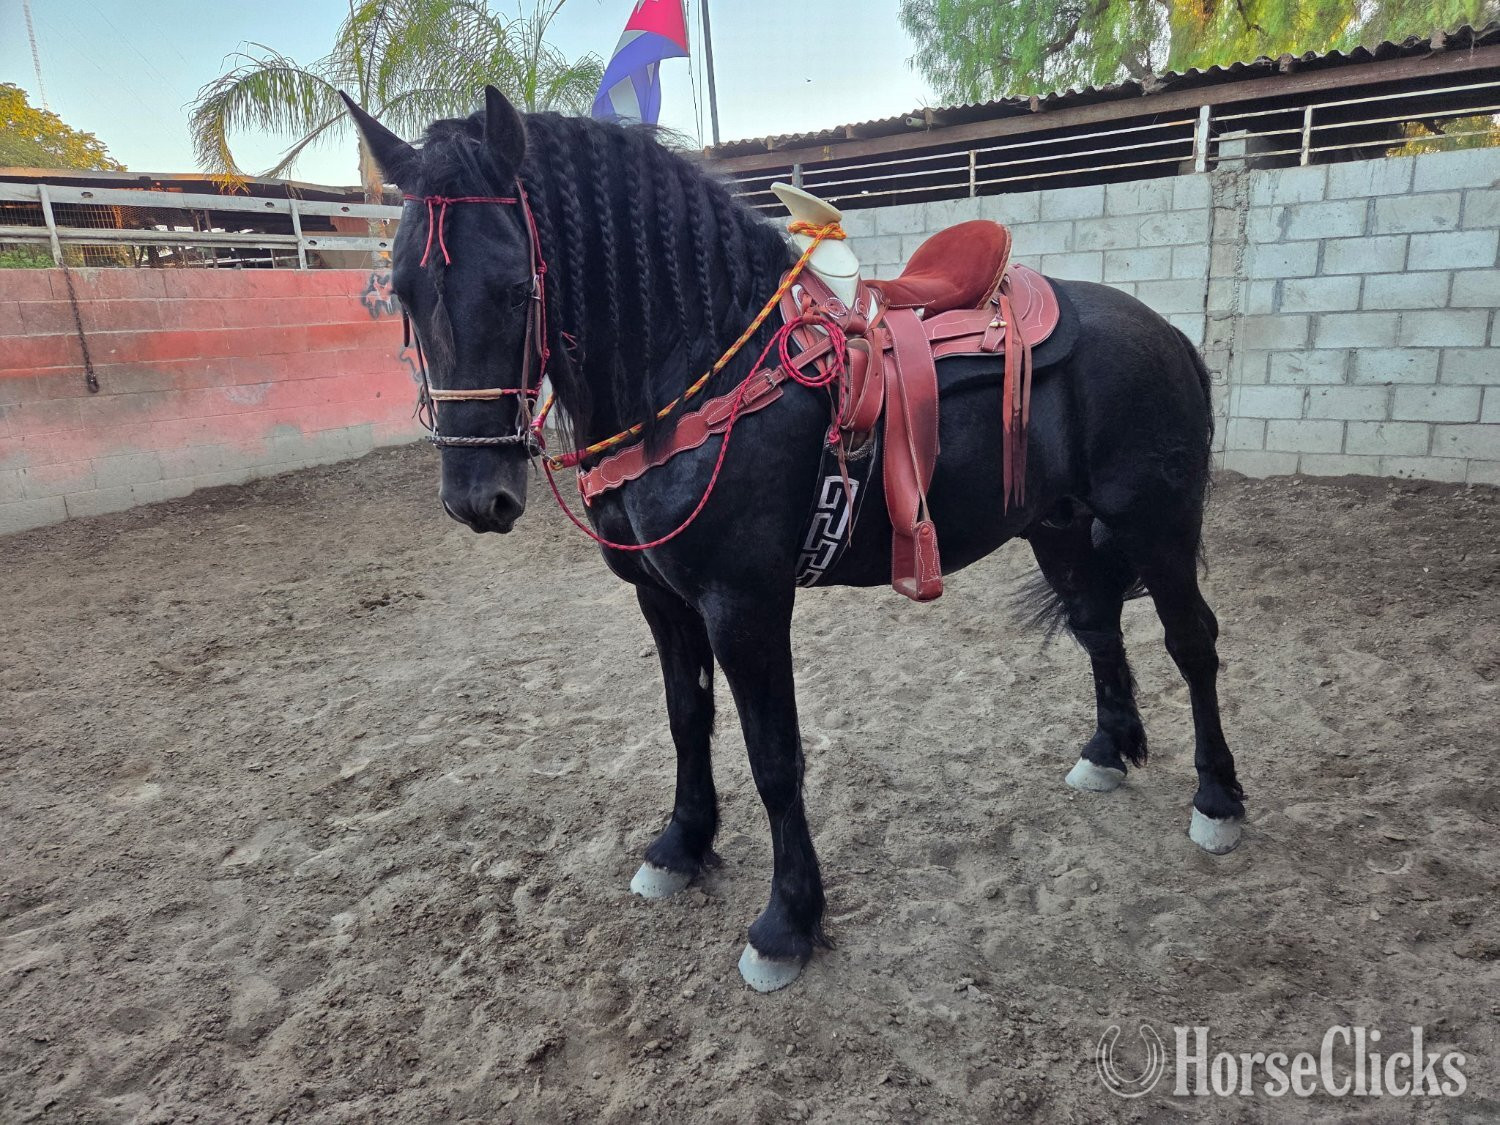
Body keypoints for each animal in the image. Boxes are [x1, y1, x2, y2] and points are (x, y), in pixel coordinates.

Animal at [340, 87, 1246, 992]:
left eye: (509, 288)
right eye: (405, 291)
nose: (476, 497)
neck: (699, 371)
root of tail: (1166, 333)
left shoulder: (744, 604)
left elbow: (775, 757)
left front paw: (787, 922)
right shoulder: (662, 599)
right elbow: (686, 718)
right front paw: (681, 845)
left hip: (1157, 525)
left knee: (1192, 642)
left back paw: (1219, 800)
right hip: (1055, 527)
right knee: (1098, 626)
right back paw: (1108, 749)